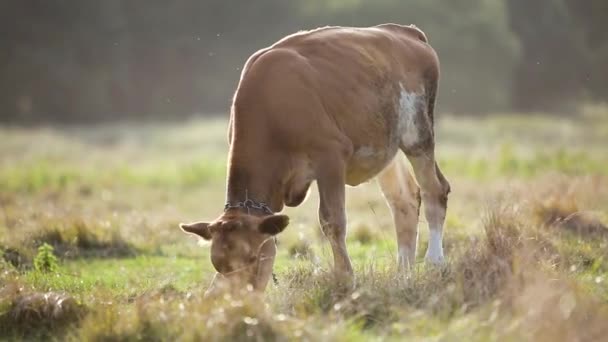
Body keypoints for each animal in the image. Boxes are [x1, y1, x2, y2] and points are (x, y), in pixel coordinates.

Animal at [178, 23, 448, 294]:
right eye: (218, 263)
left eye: (252, 257)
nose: (238, 297)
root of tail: (406, 31)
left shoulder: (331, 156)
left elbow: (332, 220)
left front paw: (345, 278)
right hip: (387, 147)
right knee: (404, 200)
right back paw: (403, 275)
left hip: (418, 133)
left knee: (435, 190)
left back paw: (434, 262)